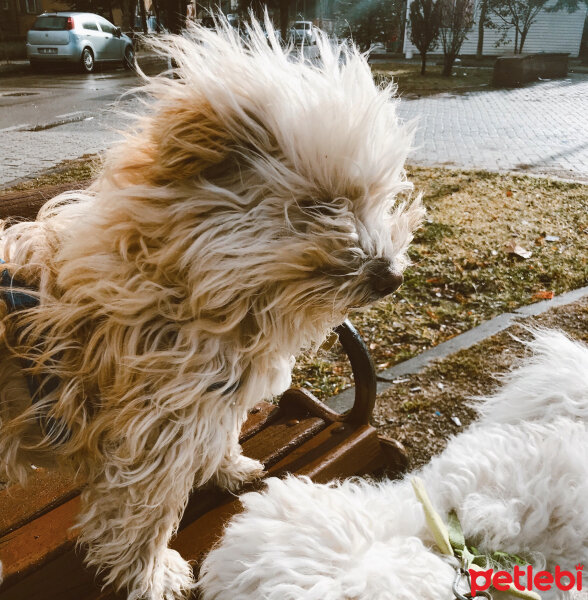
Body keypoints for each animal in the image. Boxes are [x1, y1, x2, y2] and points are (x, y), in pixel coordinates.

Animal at [0, 14, 422, 600]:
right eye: (320, 206)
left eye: (377, 199)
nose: (393, 276)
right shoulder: (152, 442)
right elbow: (144, 518)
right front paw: (151, 575)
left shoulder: (208, 404)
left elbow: (220, 436)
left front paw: (229, 468)